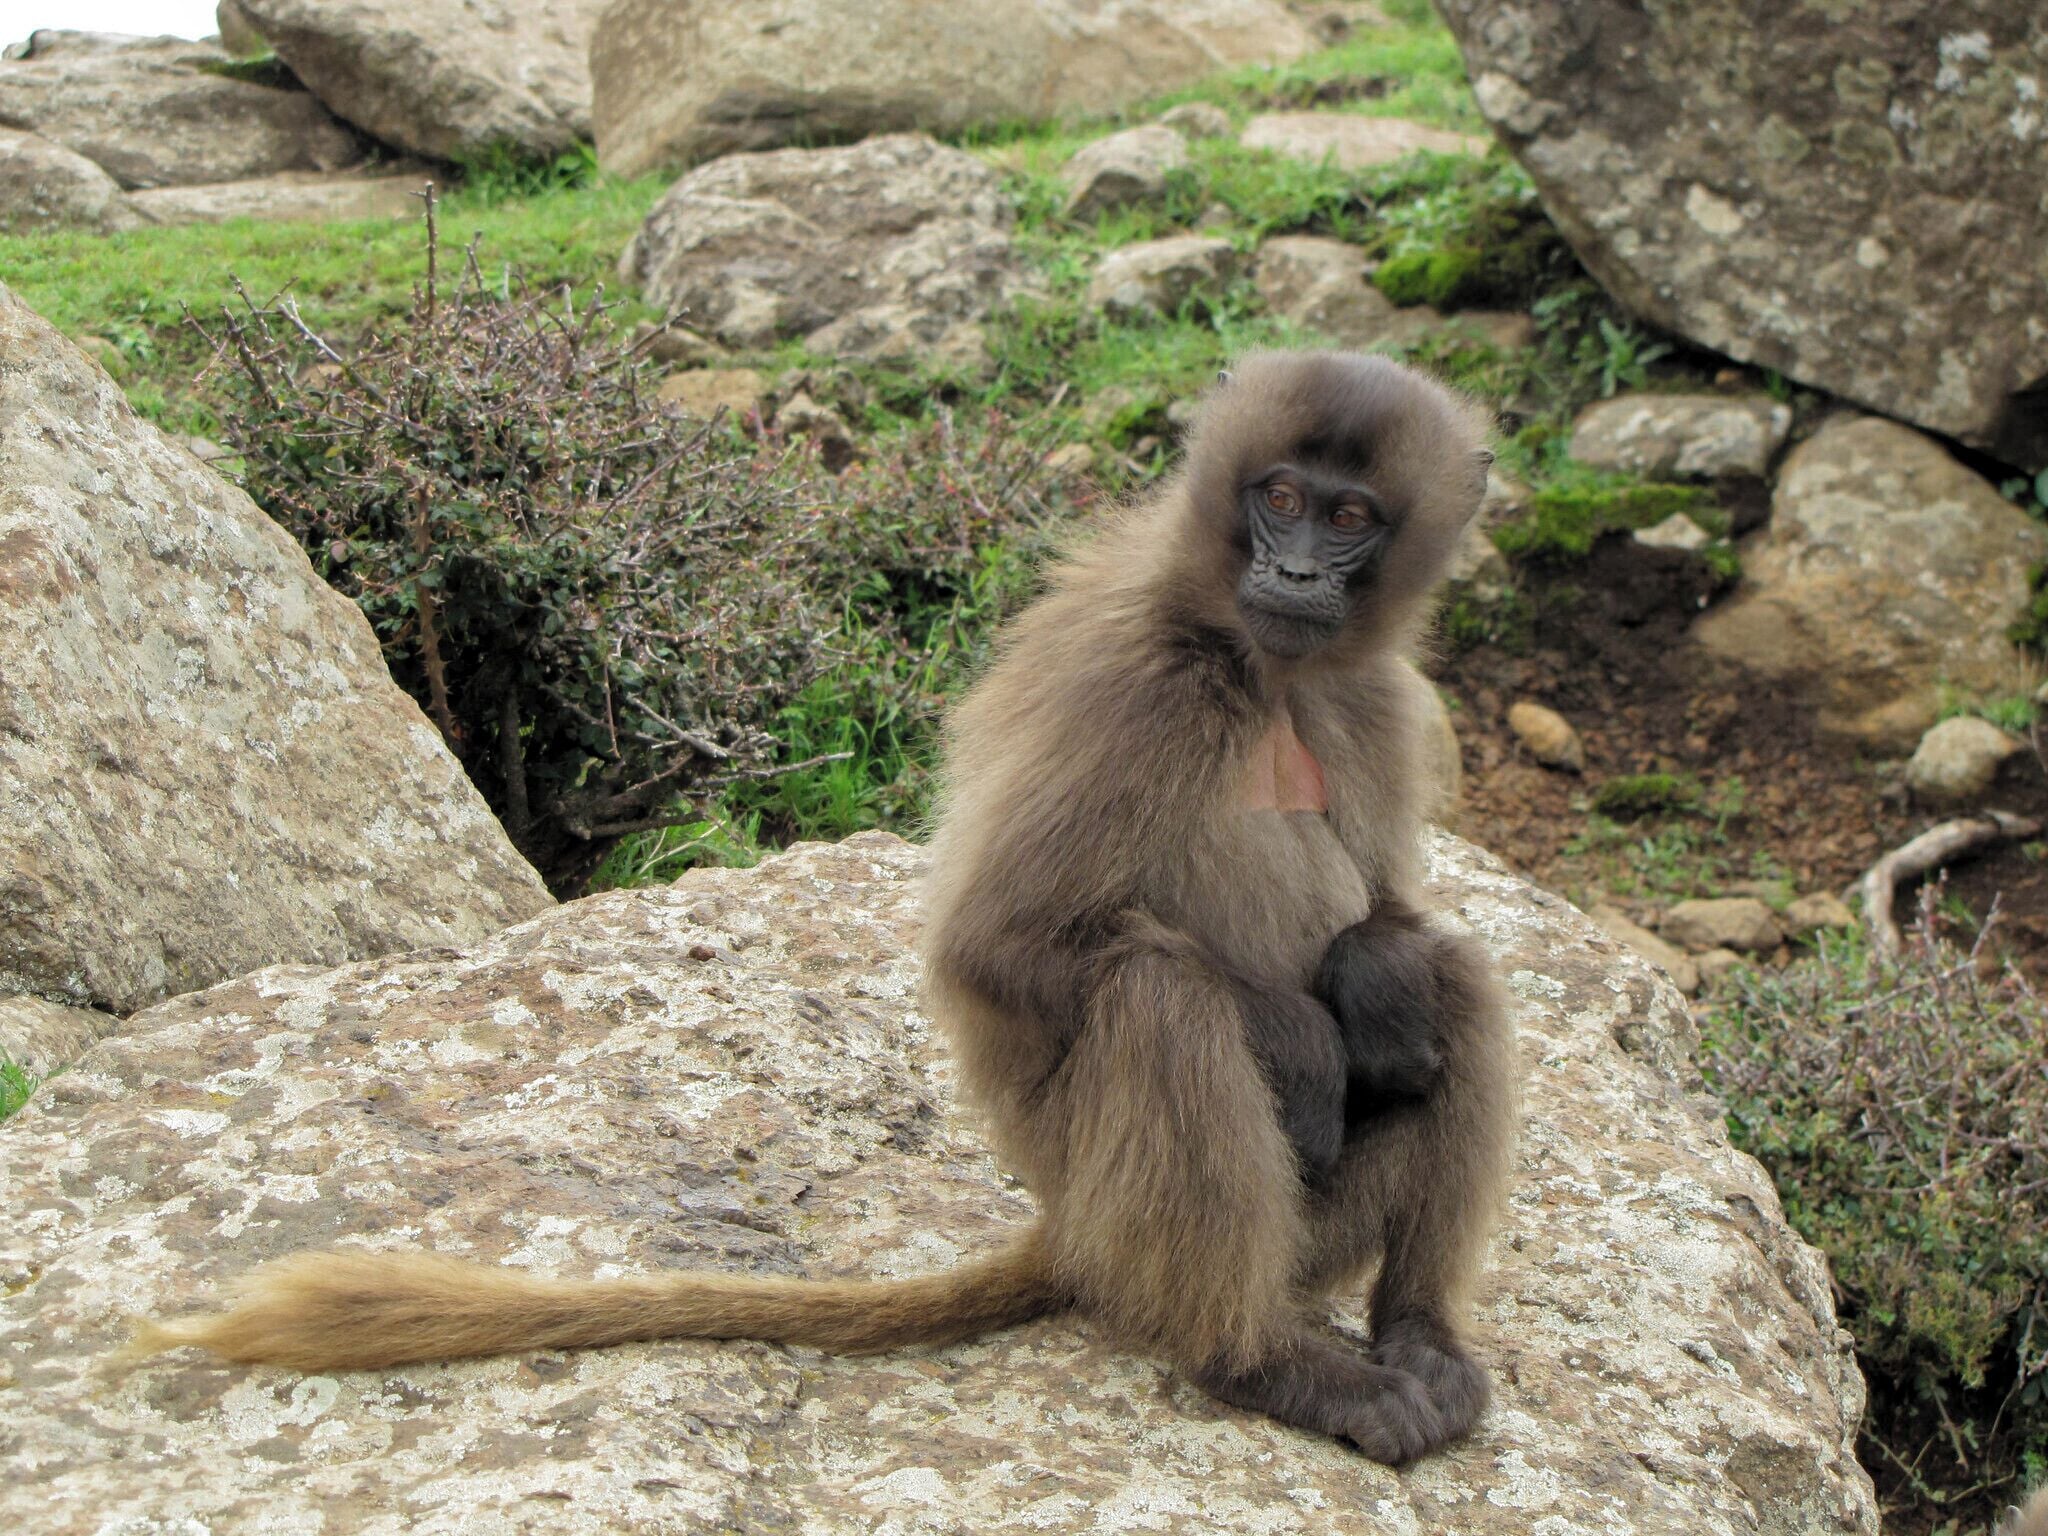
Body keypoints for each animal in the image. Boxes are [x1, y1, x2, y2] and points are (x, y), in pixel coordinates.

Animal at [134, 350, 1518, 1468]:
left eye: (1348, 517)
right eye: (1275, 498)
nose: (1292, 570)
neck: (1258, 668)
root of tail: (1068, 1229)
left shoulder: (1373, 698)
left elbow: (1393, 916)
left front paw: (1371, 981)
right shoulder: (1133, 684)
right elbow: (999, 945)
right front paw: (1305, 1046)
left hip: (1298, 1233)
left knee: (1452, 982)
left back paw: (1412, 1326)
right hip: (1117, 1195)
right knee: (1157, 994)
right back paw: (1261, 1359)